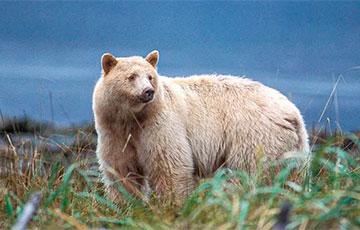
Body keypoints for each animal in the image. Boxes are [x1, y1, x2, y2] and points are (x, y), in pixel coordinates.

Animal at [93, 50, 310, 201]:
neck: (133, 118)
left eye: (150, 77)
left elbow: (170, 166)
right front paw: (124, 204)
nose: (148, 91)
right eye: (131, 76)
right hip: (294, 146)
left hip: (255, 135)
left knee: (255, 172)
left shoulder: (159, 126)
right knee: (293, 176)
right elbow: (121, 171)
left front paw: (171, 204)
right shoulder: (114, 132)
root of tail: (292, 112)